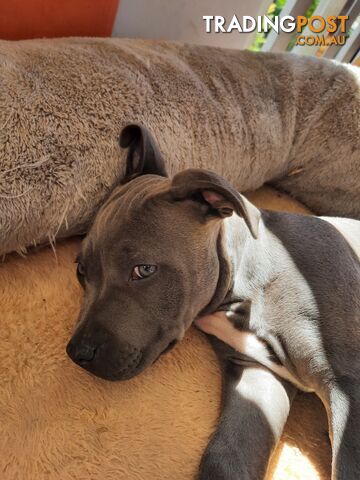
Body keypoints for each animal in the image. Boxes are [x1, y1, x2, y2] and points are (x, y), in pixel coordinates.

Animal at [67, 124, 360, 480]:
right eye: (81, 271)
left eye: (144, 270)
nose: (77, 353)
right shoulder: (256, 375)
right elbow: (227, 455)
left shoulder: (347, 382)